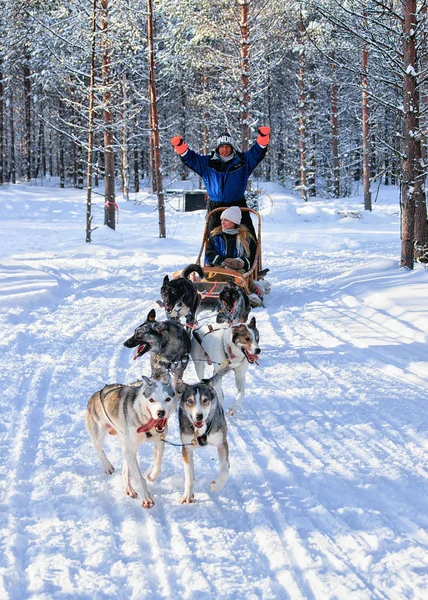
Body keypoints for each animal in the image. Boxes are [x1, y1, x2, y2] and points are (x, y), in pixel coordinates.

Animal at [85, 378, 176, 508]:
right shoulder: (131, 451)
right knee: (98, 449)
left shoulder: (159, 442)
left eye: (167, 399)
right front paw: (146, 497)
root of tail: (96, 395)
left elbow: (158, 465)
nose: (161, 413)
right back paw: (107, 466)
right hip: (99, 434)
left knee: (125, 469)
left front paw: (152, 476)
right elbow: (138, 477)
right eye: (151, 399)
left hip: (125, 444)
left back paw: (129, 489)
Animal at [178, 368, 231, 504]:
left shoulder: (222, 443)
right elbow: (189, 477)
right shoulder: (186, 448)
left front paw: (216, 485)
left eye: (205, 400)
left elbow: (225, 469)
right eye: (190, 401)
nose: (199, 416)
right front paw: (187, 495)